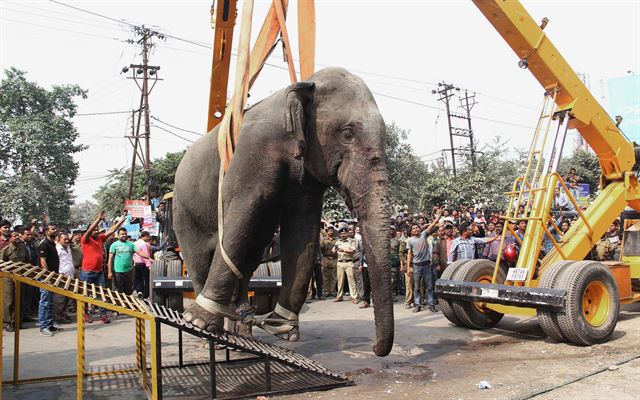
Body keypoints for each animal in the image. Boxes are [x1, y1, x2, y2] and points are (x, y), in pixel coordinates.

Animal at [175, 66, 396, 356]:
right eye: (347, 133)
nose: (374, 348)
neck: (302, 86)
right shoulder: (251, 154)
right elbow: (243, 215)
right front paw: (201, 322)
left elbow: (302, 231)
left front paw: (283, 329)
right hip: (185, 211)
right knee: (200, 259)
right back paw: (206, 331)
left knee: (250, 257)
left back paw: (241, 331)